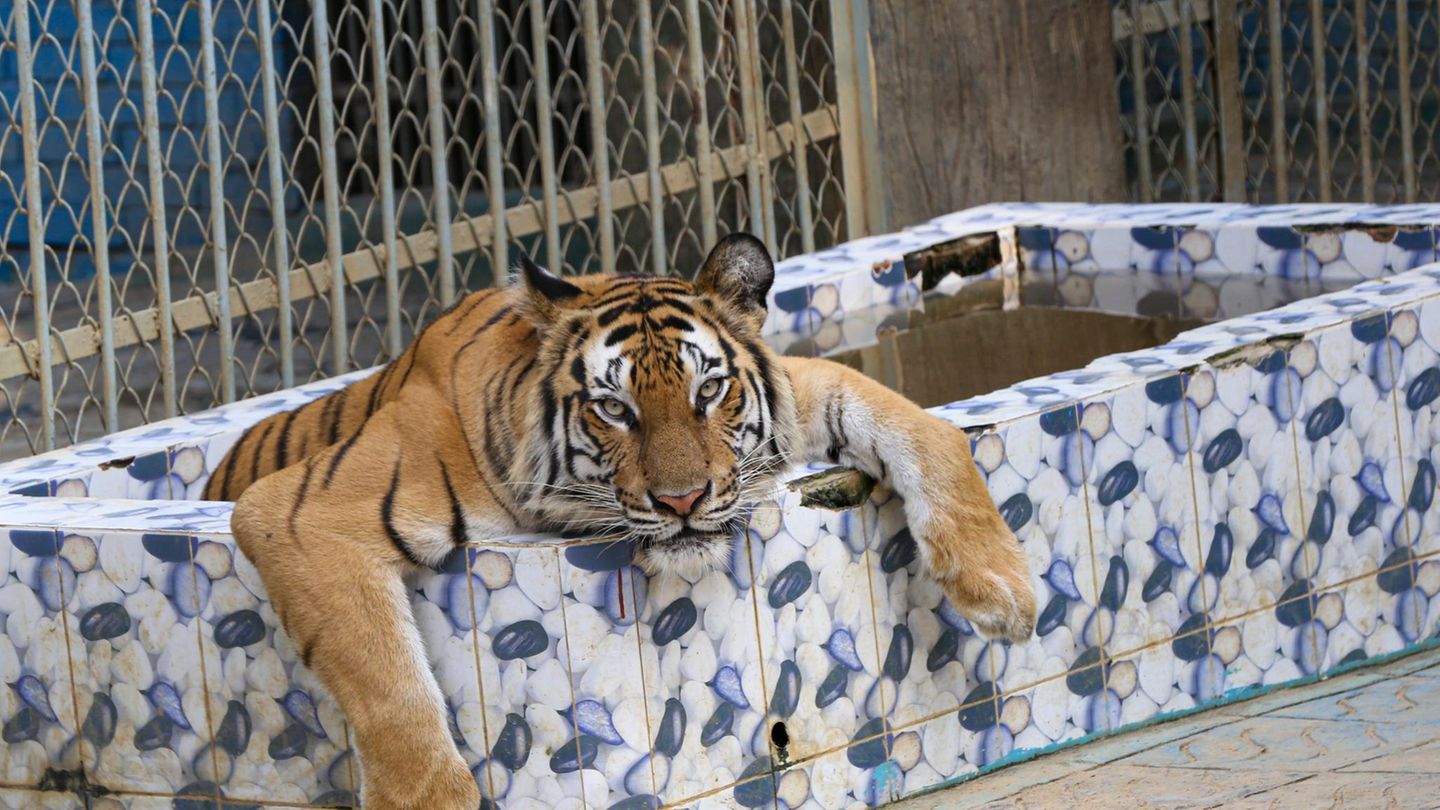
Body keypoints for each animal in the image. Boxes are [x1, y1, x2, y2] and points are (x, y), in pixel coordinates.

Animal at [214, 234, 1036, 810]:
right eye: (613, 408)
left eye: (709, 391)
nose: (683, 501)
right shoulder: (303, 513)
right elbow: (389, 685)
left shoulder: (805, 387)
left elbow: (927, 429)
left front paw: (1005, 592)